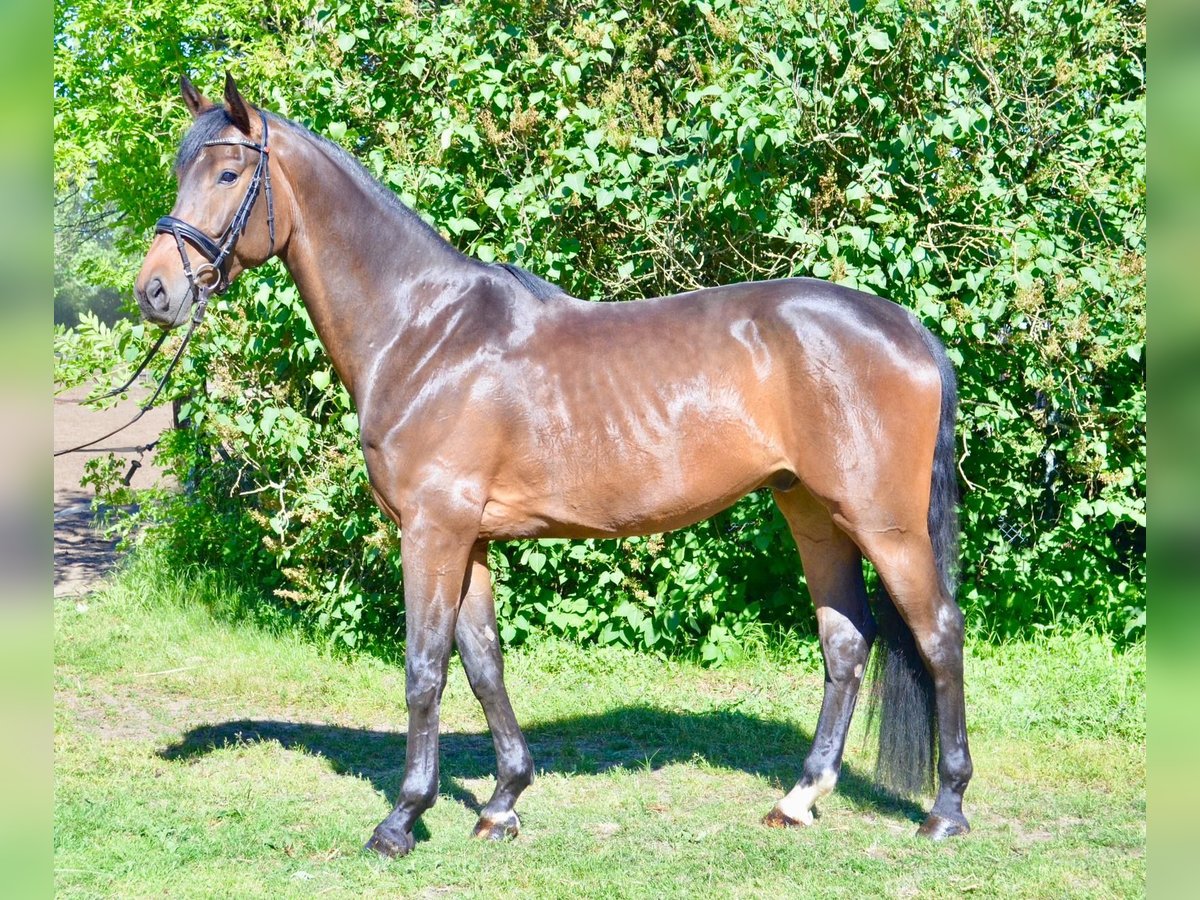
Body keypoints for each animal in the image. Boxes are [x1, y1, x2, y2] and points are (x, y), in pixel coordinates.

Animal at [133, 74, 974, 854]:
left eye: (228, 173)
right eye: (180, 169)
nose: (155, 292)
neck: (423, 332)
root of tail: (908, 329)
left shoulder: (432, 530)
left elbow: (424, 668)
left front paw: (402, 819)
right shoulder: (469, 538)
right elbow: (484, 665)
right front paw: (502, 802)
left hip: (886, 523)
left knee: (938, 632)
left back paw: (946, 809)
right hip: (810, 510)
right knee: (846, 642)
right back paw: (799, 800)